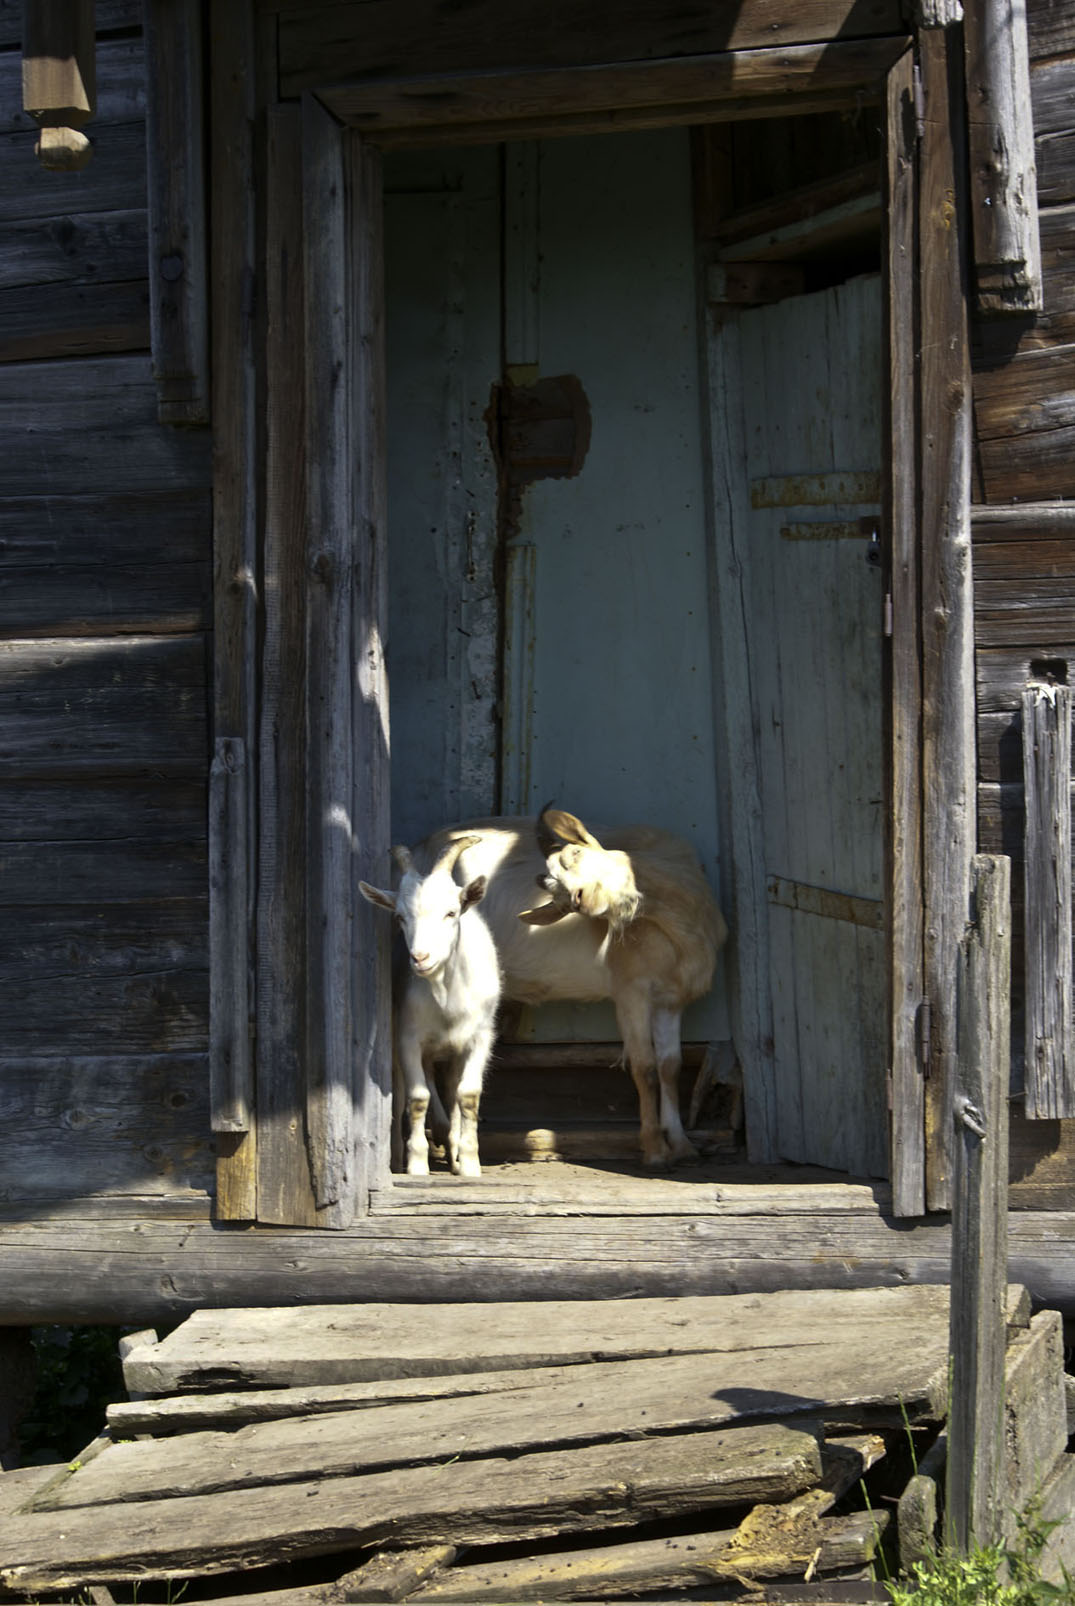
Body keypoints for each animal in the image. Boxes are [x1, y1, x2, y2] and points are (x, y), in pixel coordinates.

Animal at [358, 835, 498, 1175]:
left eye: (451, 913)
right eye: (400, 917)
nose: (420, 958)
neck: (447, 998)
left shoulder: (480, 1038)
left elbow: (468, 1095)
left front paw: (469, 1163)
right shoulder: (408, 1039)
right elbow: (417, 1098)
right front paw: (417, 1165)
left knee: (451, 1091)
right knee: (401, 1096)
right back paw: (397, 1158)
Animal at [417, 803, 729, 1169]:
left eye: (576, 854)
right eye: (558, 894)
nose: (584, 898)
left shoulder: (671, 998)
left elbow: (670, 1066)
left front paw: (681, 1145)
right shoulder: (631, 990)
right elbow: (645, 1067)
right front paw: (654, 1150)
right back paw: (442, 1134)